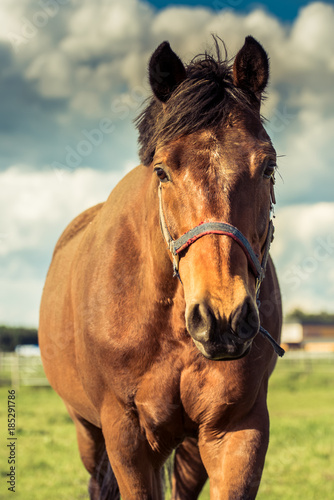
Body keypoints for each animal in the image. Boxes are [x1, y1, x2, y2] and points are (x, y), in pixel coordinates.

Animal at [40, 36, 284, 500]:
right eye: (162, 170)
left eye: (268, 166)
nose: (223, 318)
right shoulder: (127, 438)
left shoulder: (237, 432)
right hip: (88, 432)